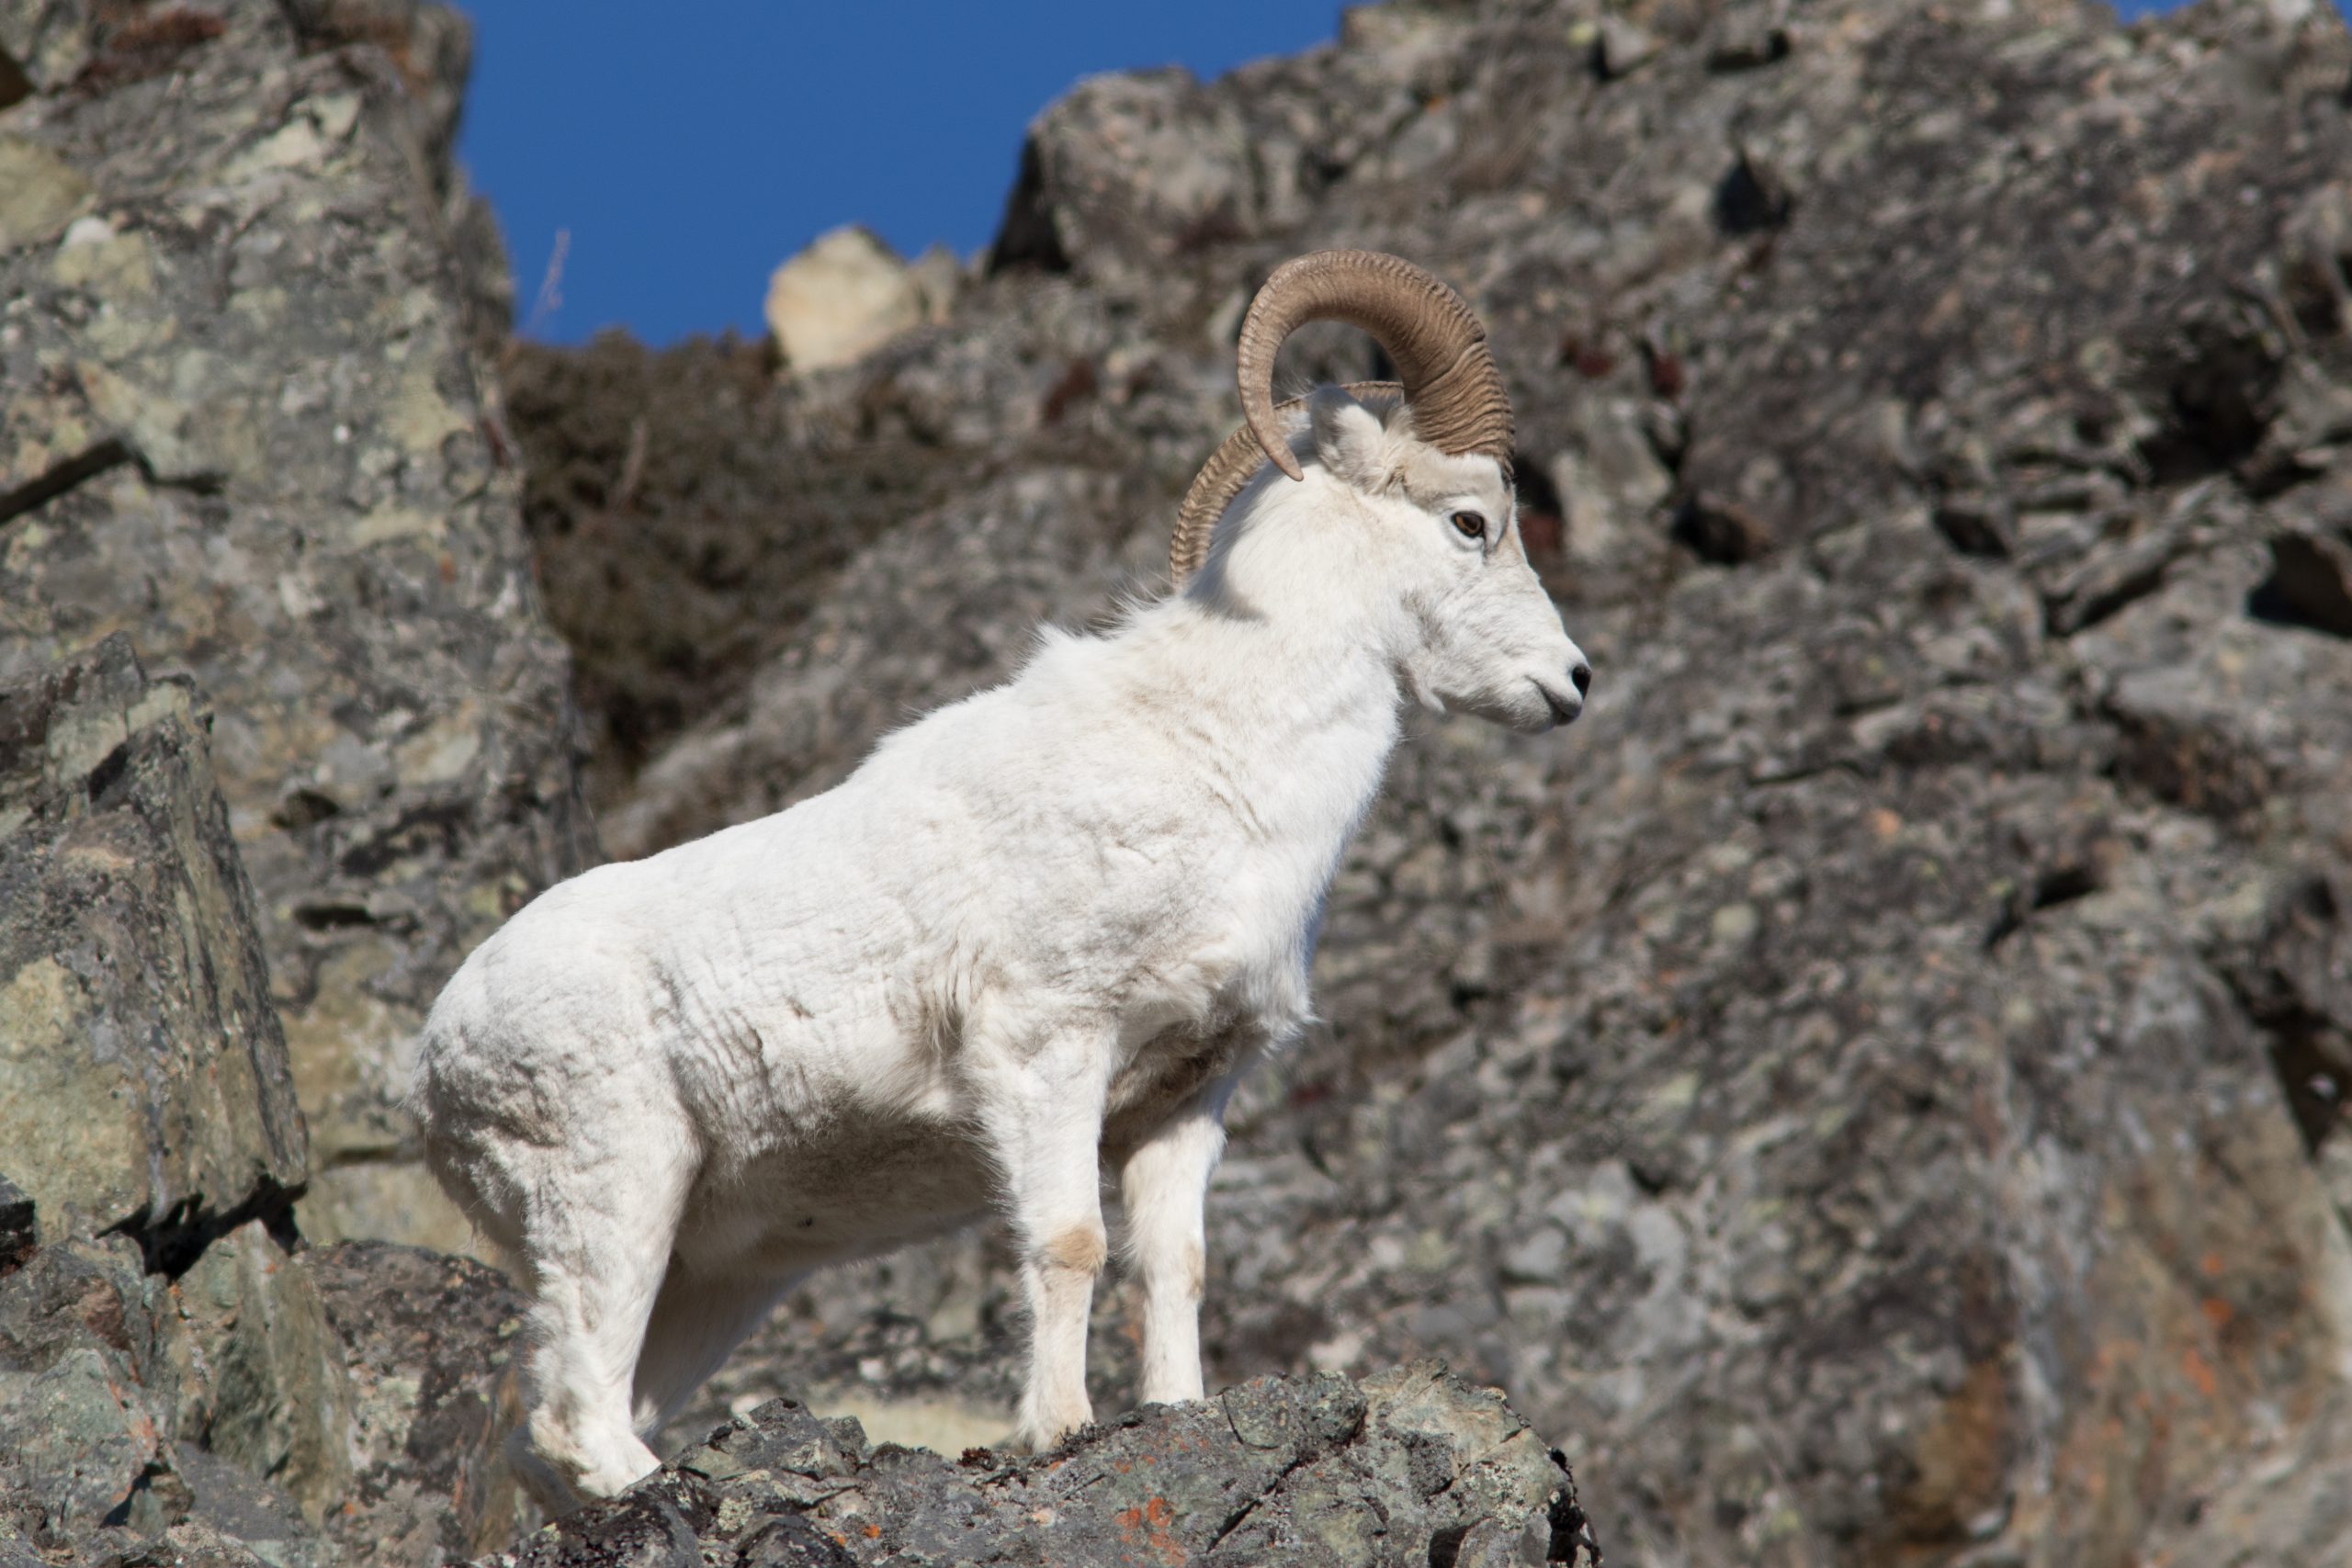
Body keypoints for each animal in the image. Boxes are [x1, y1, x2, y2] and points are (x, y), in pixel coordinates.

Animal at [414, 249, 1591, 1510]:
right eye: (1470, 521)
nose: (1571, 682)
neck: (1215, 767)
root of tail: (435, 1062)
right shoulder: (1048, 1052)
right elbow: (1069, 1245)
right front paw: (1057, 1428)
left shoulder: (1188, 1096)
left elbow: (1172, 1265)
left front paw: (1175, 1411)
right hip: (615, 1196)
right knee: (577, 1415)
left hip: (718, 1271)